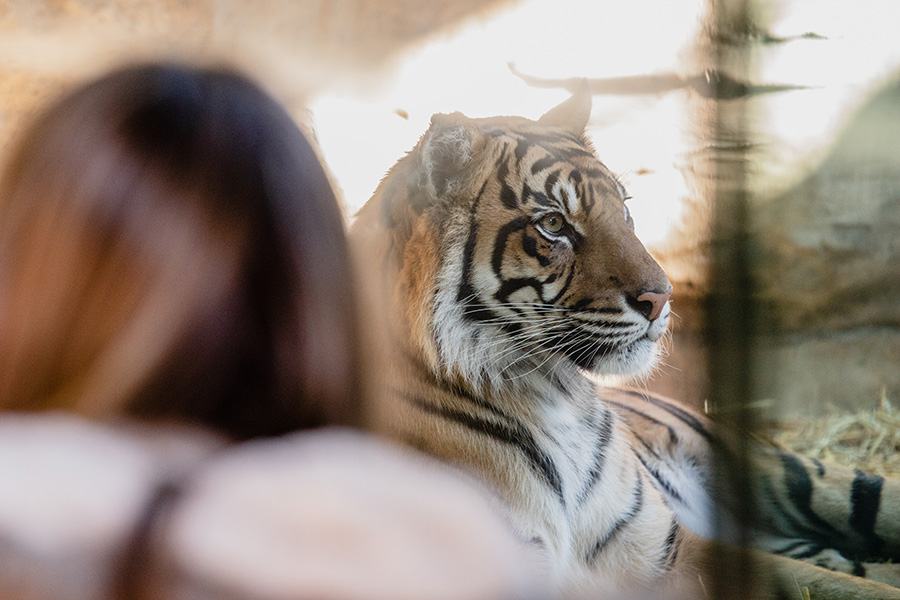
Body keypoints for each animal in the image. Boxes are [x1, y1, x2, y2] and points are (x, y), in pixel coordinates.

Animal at [350, 85, 900, 599]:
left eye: (625, 210)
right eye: (553, 223)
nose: (662, 297)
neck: (550, 398)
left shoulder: (663, 547)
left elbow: (841, 587)